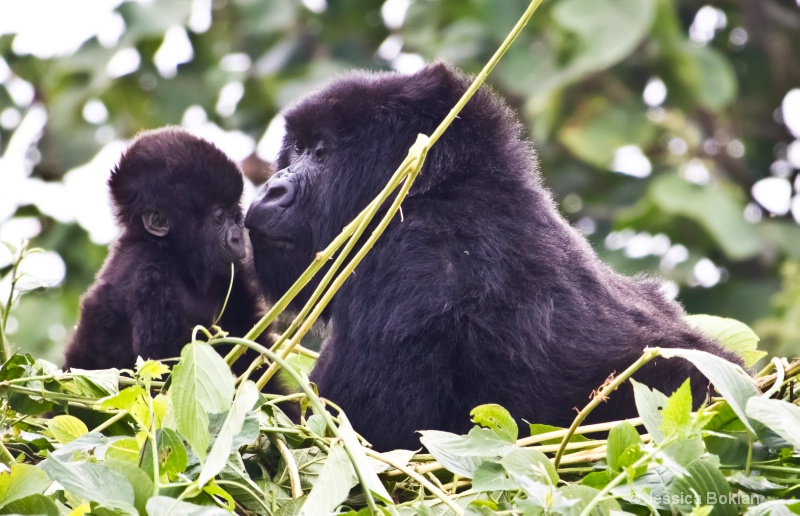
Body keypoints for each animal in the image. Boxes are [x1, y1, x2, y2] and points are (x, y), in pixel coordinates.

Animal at [64, 127, 274, 376]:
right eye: (219, 218)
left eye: (234, 215)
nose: (237, 238)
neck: (172, 254)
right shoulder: (149, 277)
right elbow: (161, 365)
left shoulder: (234, 274)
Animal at [245, 63, 744, 452]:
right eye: (295, 149)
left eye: (321, 153)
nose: (271, 190)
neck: (439, 188)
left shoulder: (413, 262)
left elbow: (363, 439)